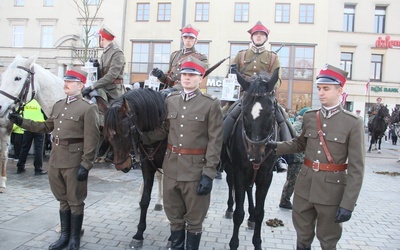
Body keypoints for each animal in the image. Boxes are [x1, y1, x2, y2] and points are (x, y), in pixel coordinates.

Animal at [101, 88, 170, 248]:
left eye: (125, 132)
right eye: (107, 135)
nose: (121, 165)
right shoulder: (147, 166)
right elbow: (145, 200)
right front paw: (139, 234)